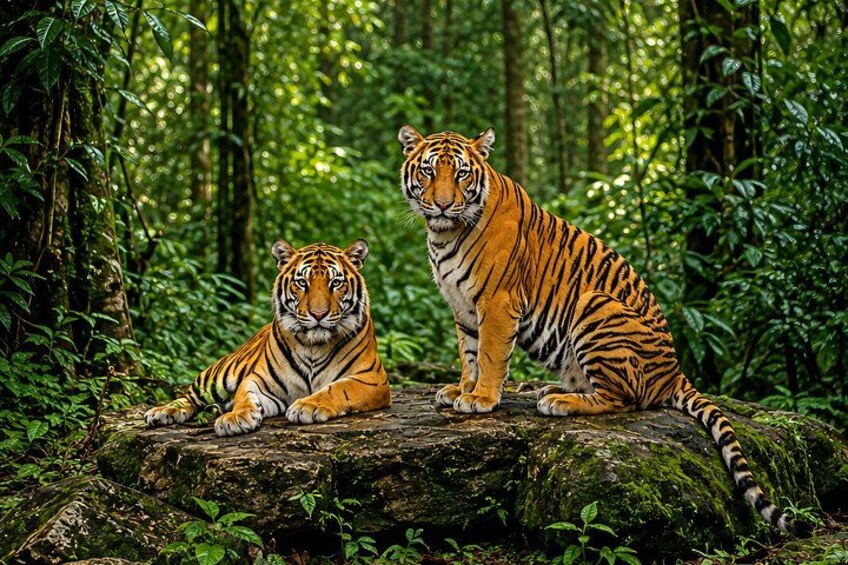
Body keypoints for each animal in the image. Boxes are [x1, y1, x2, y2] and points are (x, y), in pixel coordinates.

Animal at [144, 239, 391, 436]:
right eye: (302, 283)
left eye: (336, 283)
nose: (318, 314)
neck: (314, 345)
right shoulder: (260, 379)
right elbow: (244, 395)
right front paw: (235, 417)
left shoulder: (372, 378)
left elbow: (338, 388)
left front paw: (307, 406)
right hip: (216, 376)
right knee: (189, 397)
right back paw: (161, 412)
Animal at [397, 125, 812, 537]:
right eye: (429, 171)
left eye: (462, 174)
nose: (443, 205)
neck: (444, 234)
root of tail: (676, 372)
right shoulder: (463, 307)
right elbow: (469, 354)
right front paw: (460, 390)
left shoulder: (498, 302)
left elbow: (489, 354)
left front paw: (481, 398)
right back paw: (554, 391)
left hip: (595, 305)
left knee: (624, 399)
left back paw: (560, 402)